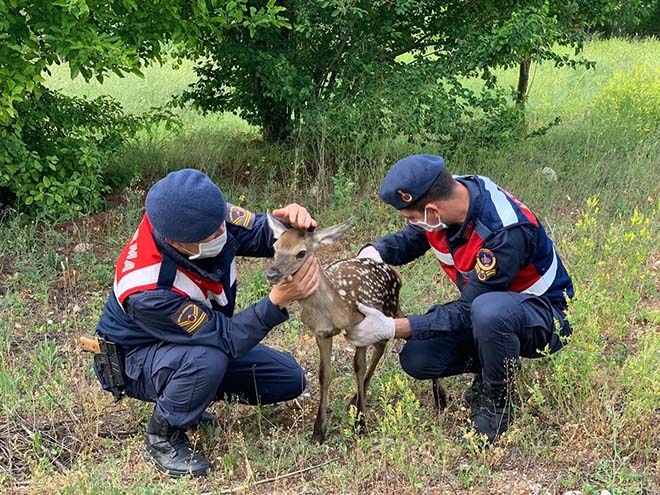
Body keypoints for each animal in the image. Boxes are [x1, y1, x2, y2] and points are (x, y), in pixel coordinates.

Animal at [264, 216, 404, 443]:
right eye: (275, 247)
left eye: (301, 252)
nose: (272, 273)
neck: (332, 307)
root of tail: (393, 270)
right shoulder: (321, 332)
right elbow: (325, 375)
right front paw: (319, 431)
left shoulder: (361, 324)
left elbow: (359, 367)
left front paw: (360, 423)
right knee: (382, 344)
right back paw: (356, 398)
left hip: (391, 305)